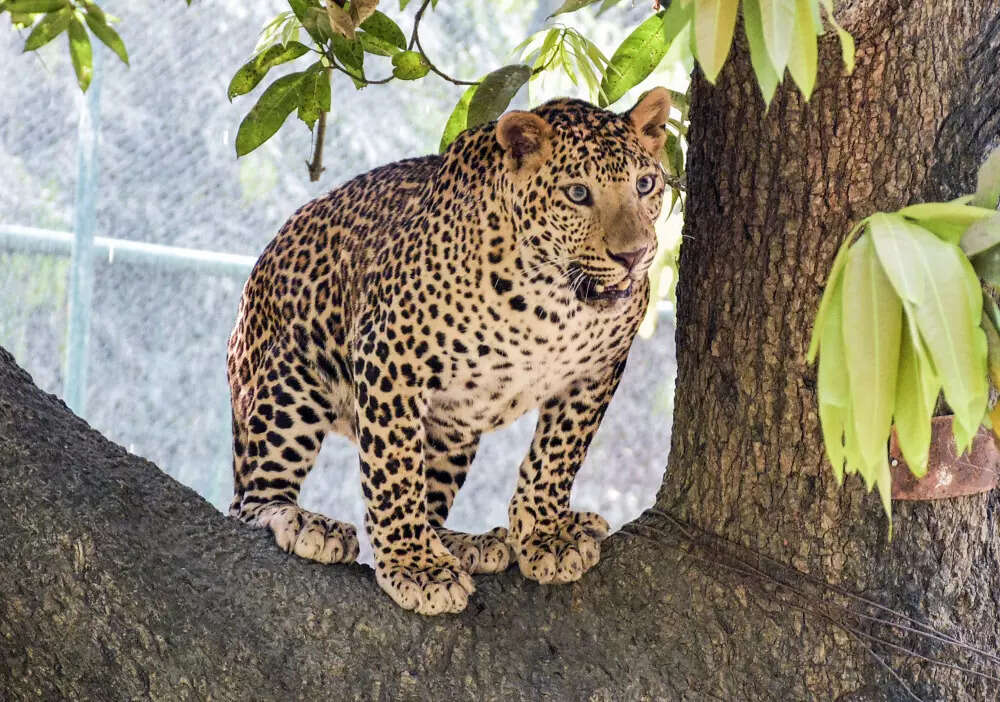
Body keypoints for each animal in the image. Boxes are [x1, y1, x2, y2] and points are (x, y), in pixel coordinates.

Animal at [226, 88, 671, 615]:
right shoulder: (390, 357)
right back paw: (306, 521)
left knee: (433, 500)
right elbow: (395, 472)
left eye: (645, 184)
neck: (556, 305)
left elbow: (559, 453)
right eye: (578, 194)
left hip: (451, 429)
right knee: (248, 501)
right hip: (289, 383)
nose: (635, 256)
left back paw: (465, 542)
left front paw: (546, 533)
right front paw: (414, 566)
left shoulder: (597, 371)